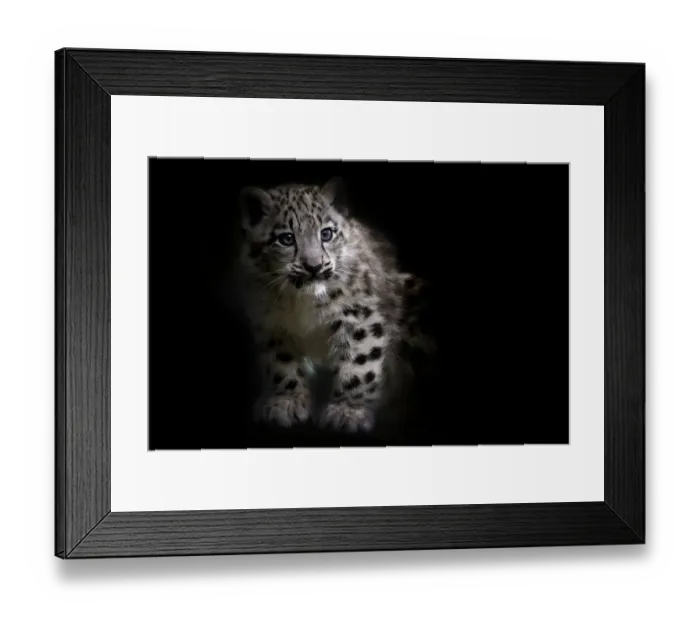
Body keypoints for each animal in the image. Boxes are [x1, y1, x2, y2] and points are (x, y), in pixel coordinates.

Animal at [235, 177, 434, 434]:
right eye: (286, 238)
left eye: (326, 233)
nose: (314, 266)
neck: (302, 304)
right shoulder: (271, 324)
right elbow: (282, 365)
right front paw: (286, 403)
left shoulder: (360, 316)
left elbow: (360, 364)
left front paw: (347, 411)